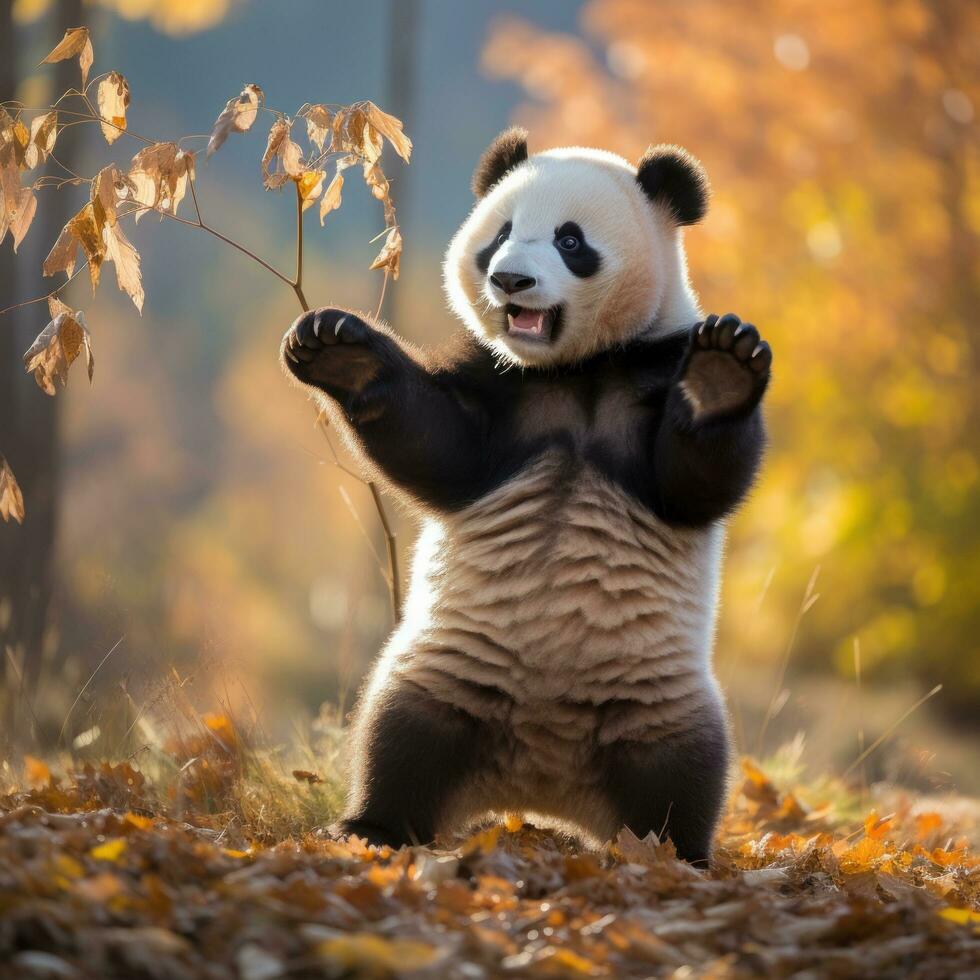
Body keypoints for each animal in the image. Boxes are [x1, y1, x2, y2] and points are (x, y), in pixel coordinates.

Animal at [284, 128, 772, 864]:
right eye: (501, 235)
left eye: (571, 240)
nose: (510, 279)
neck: (574, 369)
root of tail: (542, 783)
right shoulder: (500, 388)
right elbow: (438, 449)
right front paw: (340, 351)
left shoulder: (649, 368)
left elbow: (695, 484)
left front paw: (720, 371)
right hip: (444, 670)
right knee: (400, 738)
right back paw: (373, 828)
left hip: (657, 698)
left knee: (681, 772)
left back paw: (672, 852)